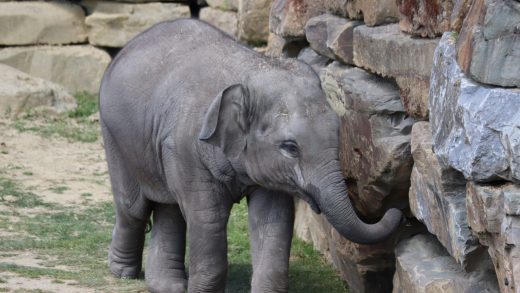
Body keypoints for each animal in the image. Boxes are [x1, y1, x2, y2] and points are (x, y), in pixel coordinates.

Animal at [101, 19, 402, 290]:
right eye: (290, 147)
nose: (397, 209)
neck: (252, 71)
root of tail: (127, 47)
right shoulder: (187, 149)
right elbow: (207, 218)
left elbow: (274, 221)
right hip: (113, 136)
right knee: (133, 209)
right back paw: (123, 273)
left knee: (168, 208)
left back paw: (167, 286)